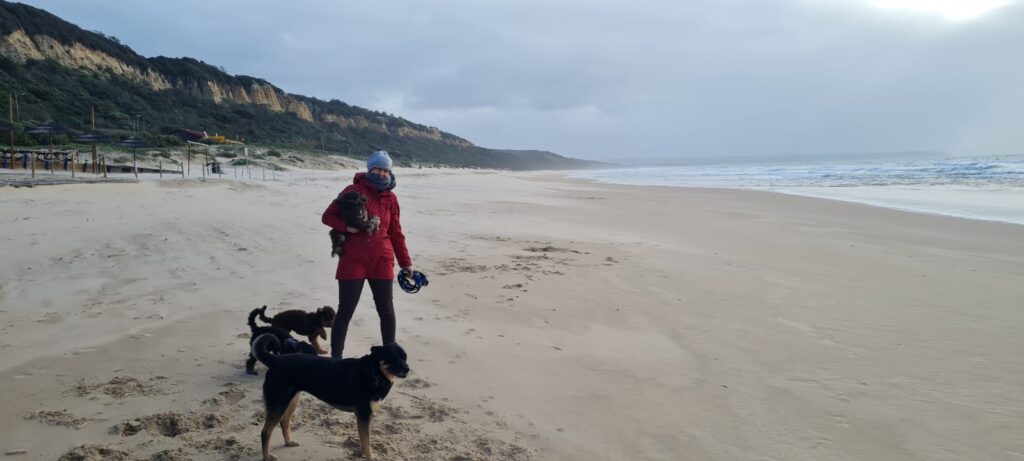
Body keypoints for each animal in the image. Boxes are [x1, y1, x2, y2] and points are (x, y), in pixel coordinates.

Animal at [250, 333, 407, 461]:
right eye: (393, 358)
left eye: (405, 358)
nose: (407, 369)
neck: (374, 371)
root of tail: (276, 360)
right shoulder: (363, 415)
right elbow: (366, 441)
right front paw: (370, 457)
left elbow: (365, 440)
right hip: (278, 403)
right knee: (265, 432)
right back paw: (266, 456)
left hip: (291, 401)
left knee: (284, 422)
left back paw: (289, 442)